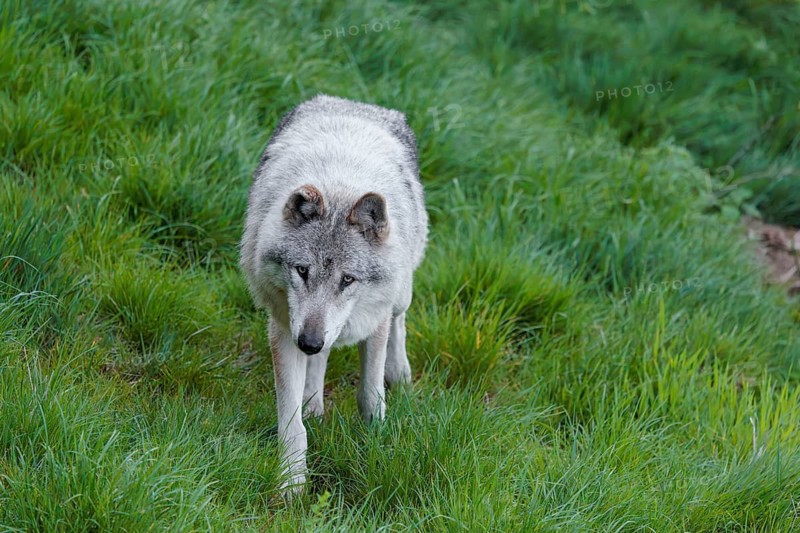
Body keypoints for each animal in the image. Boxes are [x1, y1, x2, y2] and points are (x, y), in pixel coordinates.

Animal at [239, 95, 428, 494]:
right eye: (302, 270)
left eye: (348, 280)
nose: (309, 341)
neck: (340, 184)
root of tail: (354, 102)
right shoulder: (284, 328)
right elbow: (291, 422)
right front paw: (291, 483)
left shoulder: (375, 320)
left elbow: (370, 394)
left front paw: (377, 441)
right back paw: (313, 401)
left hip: (401, 292)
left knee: (400, 320)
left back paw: (399, 372)